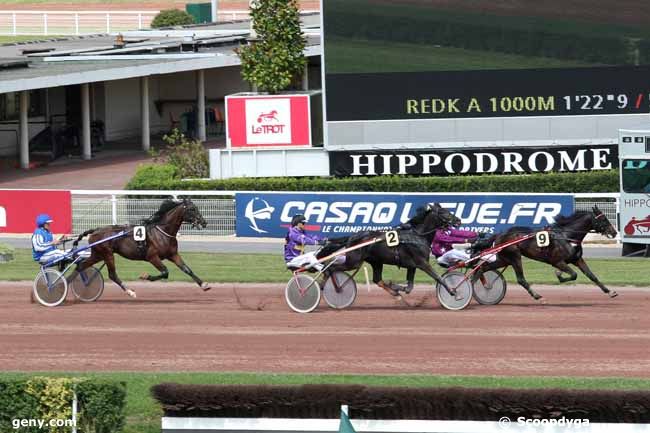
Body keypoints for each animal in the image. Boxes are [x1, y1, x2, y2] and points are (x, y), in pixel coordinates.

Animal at [73, 198, 210, 296]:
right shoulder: (152, 257)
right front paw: (145, 276)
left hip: (98, 254)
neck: (162, 232)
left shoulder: (173, 254)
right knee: (112, 275)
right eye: (192, 209)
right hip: (107, 254)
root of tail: (96, 230)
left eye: (196, 208)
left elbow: (187, 269)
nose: (204, 222)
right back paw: (130, 292)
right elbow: (165, 272)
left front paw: (204, 285)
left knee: (81, 266)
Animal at [316, 202, 458, 296]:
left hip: (376, 262)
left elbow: (409, 287)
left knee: (377, 279)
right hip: (353, 261)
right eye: (444, 213)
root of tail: (352, 236)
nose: (458, 220)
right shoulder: (422, 263)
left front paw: (395, 286)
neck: (417, 236)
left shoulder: (412, 265)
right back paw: (333, 287)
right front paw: (452, 291)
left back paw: (394, 293)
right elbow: (438, 277)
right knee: (331, 268)